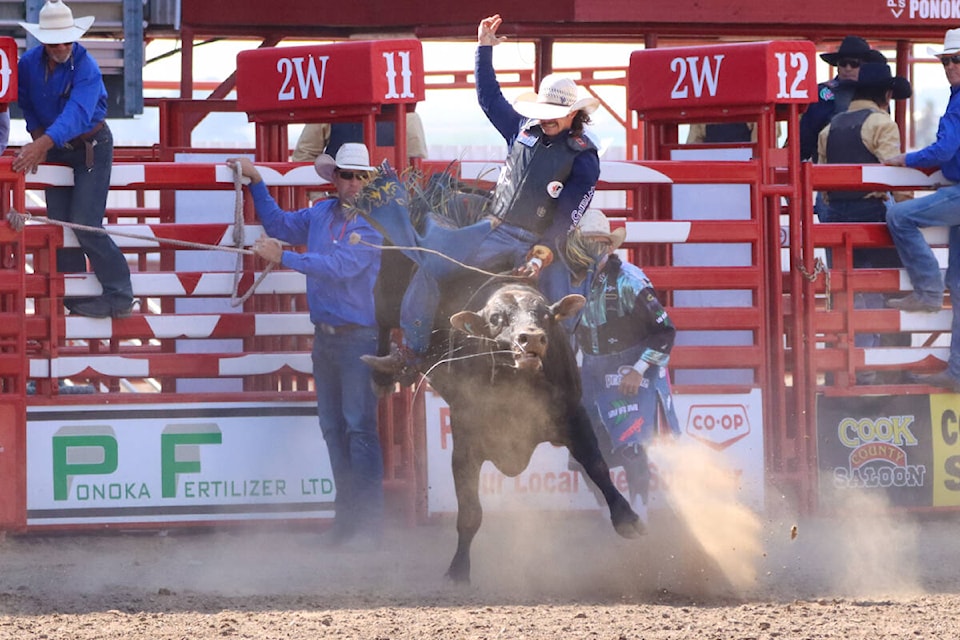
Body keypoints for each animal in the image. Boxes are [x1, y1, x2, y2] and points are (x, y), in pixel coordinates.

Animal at [352, 162, 644, 584]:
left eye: (545, 314)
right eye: (495, 319)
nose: (531, 338)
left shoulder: (573, 415)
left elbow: (598, 466)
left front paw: (627, 519)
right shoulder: (465, 440)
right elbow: (470, 511)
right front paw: (459, 569)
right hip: (388, 291)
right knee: (383, 323)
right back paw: (385, 373)